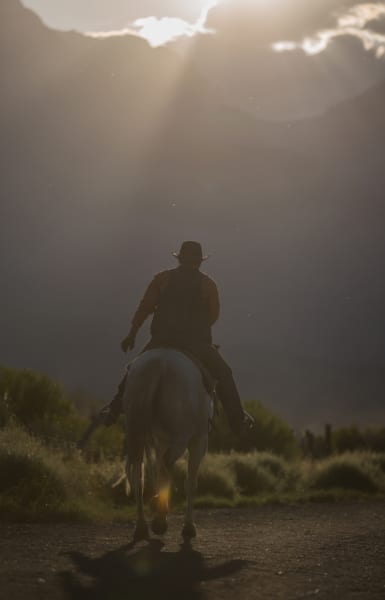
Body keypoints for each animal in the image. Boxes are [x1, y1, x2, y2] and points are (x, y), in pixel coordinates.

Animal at [122, 346, 213, 544]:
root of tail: (158, 364)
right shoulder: (199, 441)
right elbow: (190, 482)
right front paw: (188, 527)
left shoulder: (160, 441)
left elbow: (158, 474)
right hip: (181, 437)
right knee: (167, 466)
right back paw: (158, 519)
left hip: (138, 436)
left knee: (139, 476)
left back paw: (142, 526)